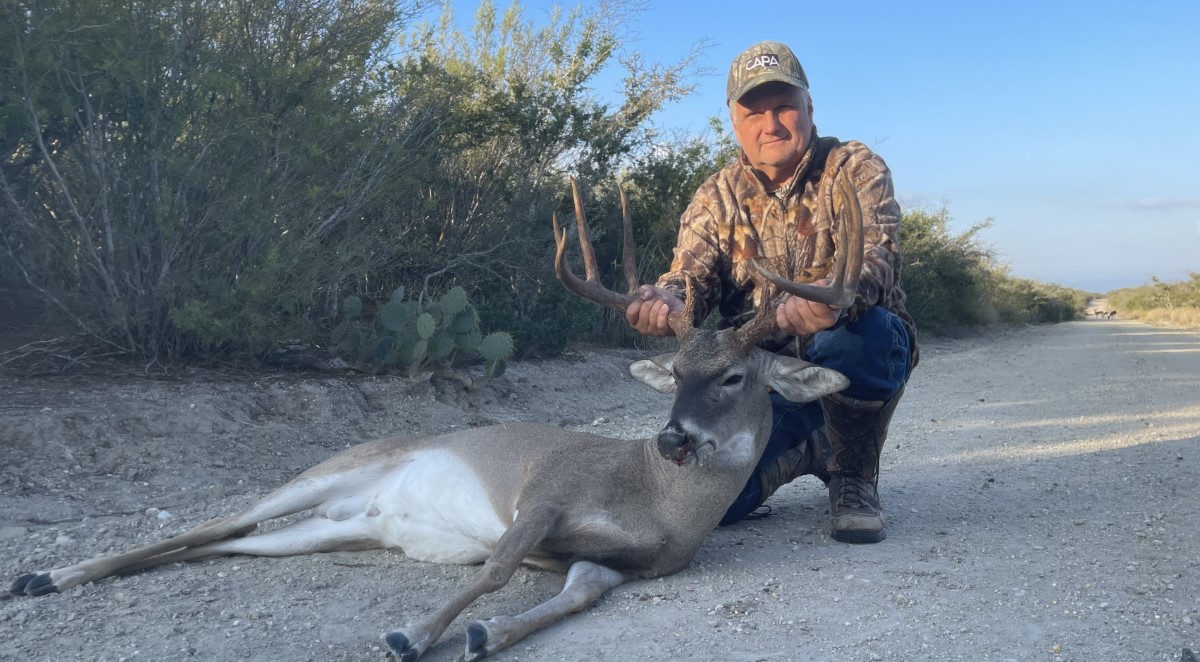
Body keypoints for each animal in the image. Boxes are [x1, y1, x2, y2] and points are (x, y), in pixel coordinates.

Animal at [3, 172, 865, 661]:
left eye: (730, 376)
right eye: (674, 378)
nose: (671, 438)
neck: (660, 505)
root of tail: (361, 501)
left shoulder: (616, 564)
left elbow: (575, 596)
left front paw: (487, 636)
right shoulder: (545, 491)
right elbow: (495, 569)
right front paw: (414, 634)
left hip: (336, 527)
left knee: (227, 545)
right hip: (334, 466)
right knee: (209, 525)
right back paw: (45, 575)